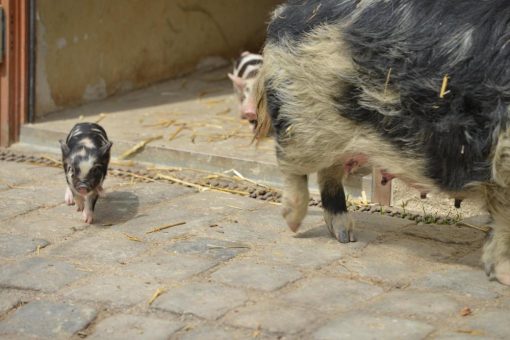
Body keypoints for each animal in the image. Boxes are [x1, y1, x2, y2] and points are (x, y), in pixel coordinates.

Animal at [256, 0, 510, 284]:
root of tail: (284, 13)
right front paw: (506, 276)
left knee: (328, 172)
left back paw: (346, 236)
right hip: (303, 116)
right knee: (291, 163)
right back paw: (294, 223)